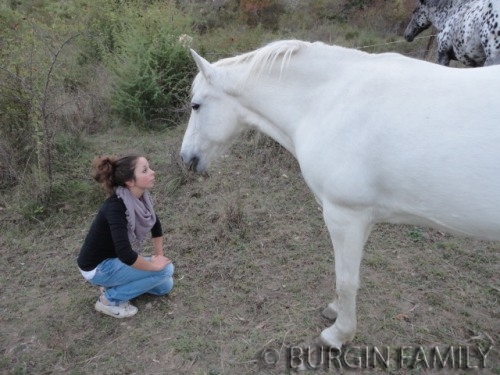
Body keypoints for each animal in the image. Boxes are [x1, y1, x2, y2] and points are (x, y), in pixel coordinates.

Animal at [180, 40, 500, 350]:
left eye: (196, 105)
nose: (185, 159)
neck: (329, 102)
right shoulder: (362, 217)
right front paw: (335, 310)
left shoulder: (345, 215)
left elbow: (345, 279)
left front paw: (337, 334)